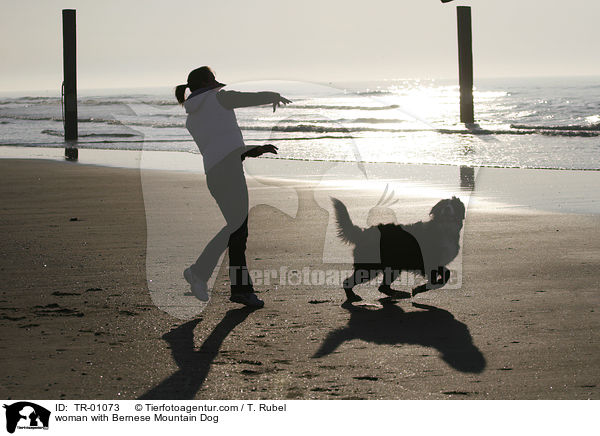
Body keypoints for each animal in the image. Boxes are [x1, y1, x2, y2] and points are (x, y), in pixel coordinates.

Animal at [332, 198, 464, 304]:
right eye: (443, 205)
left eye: (453, 205)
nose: (447, 208)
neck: (445, 228)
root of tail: (363, 233)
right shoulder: (429, 263)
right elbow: (436, 281)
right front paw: (418, 289)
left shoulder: (437, 263)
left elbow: (446, 275)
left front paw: (418, 289)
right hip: (371, 267)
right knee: (348, 282)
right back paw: (353, 297)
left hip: (393, 267)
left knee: (383, 287)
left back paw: (398, 294)